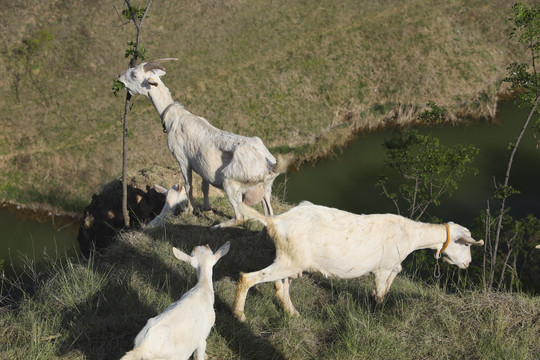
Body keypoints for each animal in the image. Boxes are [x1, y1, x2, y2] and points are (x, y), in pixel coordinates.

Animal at [116, 59, 288, 228]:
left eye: (135, 75)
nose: (119, 76)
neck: (174, 117)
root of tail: (269, 164)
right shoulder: (202, 164)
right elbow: (205, 186)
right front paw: (207, 208)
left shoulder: (183, 159)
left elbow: (188, 185)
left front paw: (190, 210)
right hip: (266, 189)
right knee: (269, 213)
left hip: (231, 183)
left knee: (241, 216)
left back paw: (219, 226)